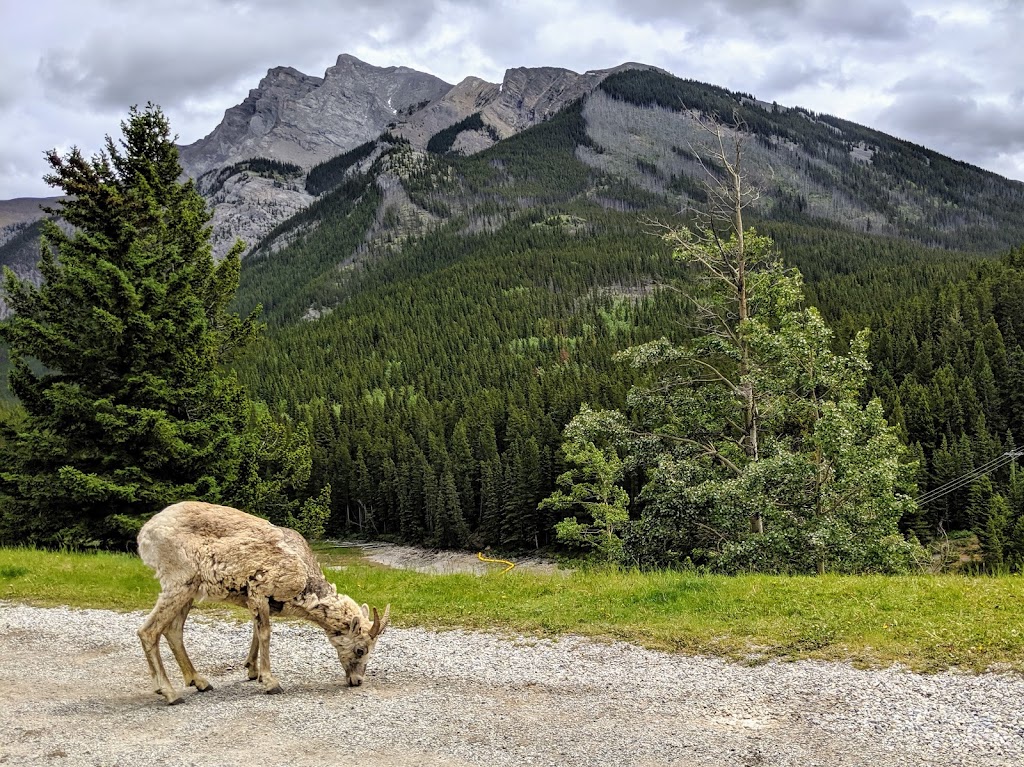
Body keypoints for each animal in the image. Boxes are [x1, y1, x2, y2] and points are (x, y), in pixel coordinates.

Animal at [138, 499, 389, 704]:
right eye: (360, 650)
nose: (357, 680)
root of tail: (145, 534)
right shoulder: (259, 591)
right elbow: (265, 634)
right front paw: (271, 683)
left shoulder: (259, 603)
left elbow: (256, 635)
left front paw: (252, 673)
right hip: (179, 583)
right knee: (148, 631)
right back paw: (170, 694)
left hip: (190, 590)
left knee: (173, 630)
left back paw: (200, 683)